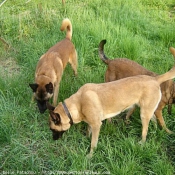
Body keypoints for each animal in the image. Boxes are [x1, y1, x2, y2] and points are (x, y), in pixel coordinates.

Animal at [47, 51, 175, 157]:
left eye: (53, 129)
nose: (53, 140)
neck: (78, 103)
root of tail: (155, 79)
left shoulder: (97, 125)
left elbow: (93, 143)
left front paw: (89, 156)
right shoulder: (91, 122)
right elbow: (88, 131)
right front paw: (85, 138)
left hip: (144, 114)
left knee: (145, 130)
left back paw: (142, 142)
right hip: (147, 110)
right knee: (153, 119)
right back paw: (155, 131)